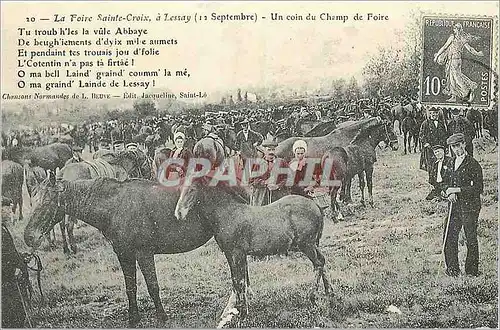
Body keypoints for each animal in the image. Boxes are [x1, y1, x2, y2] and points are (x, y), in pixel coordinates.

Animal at [24, 177, 215, 326]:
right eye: (33, 202)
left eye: (46, 202)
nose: (28, 237)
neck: (116, 207)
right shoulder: (124, 255)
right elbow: (130, 287)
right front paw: (134, 318)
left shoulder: (144, 253)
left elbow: (152, 286)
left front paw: (162, 317)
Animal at [174, 177, 334, 326]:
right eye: (181, 189)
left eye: (192, 189)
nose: (179, 213)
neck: (229, 213)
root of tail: (316, 206)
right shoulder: (230, 254)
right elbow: (235, 280)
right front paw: (238, 310)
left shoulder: (238, 253)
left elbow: (240, 281)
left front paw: (243, 314)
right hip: (312, 245)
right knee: (322, 261)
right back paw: (329, 293)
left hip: (306, 245)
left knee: (318, 263)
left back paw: (312, 297)